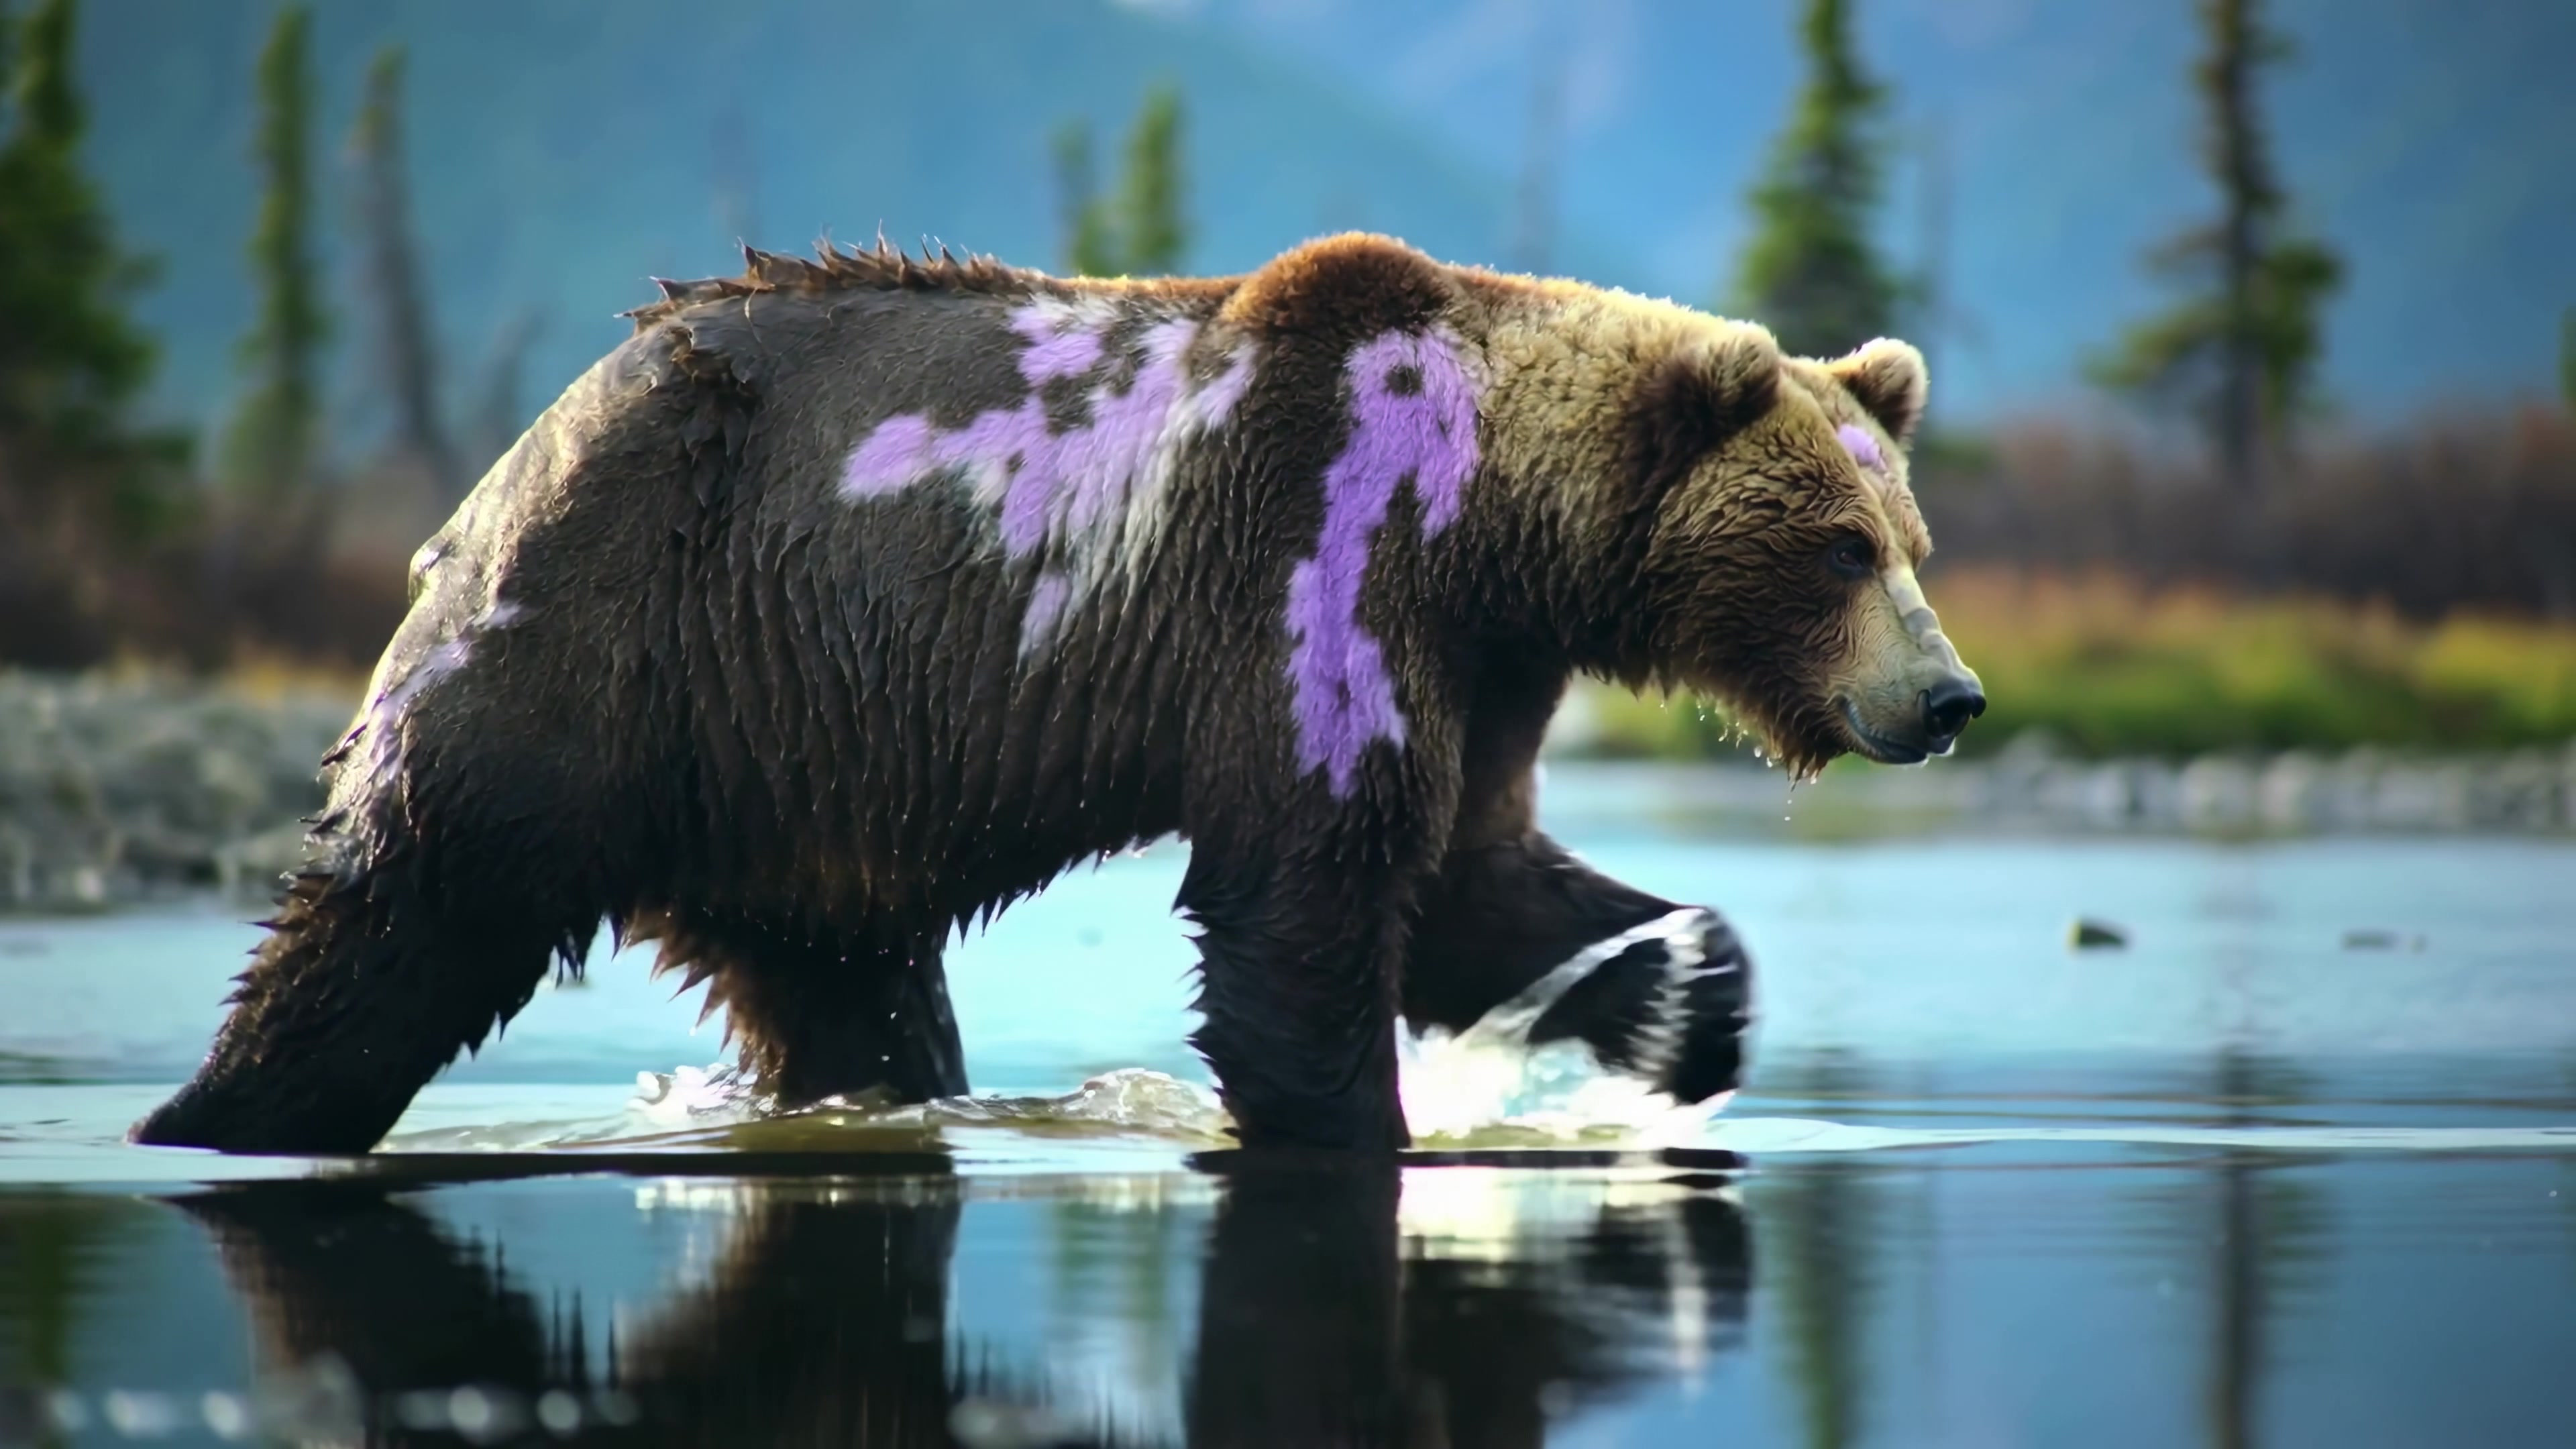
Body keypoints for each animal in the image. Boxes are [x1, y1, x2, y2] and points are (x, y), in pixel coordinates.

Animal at [131, 233, 1983, 1155]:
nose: (1949, 695)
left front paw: (1683, 992)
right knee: (400, 919)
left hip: (786, 784)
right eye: (1836, 548)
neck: (1491, 520)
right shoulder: (1318, 553)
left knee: (853, 998)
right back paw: (208, 1114)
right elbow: (1304, 896)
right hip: (599, 641)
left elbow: (1475, 877)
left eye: (1912, 537)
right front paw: (1345, 1118)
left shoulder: (1482, 657)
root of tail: (506, 463)